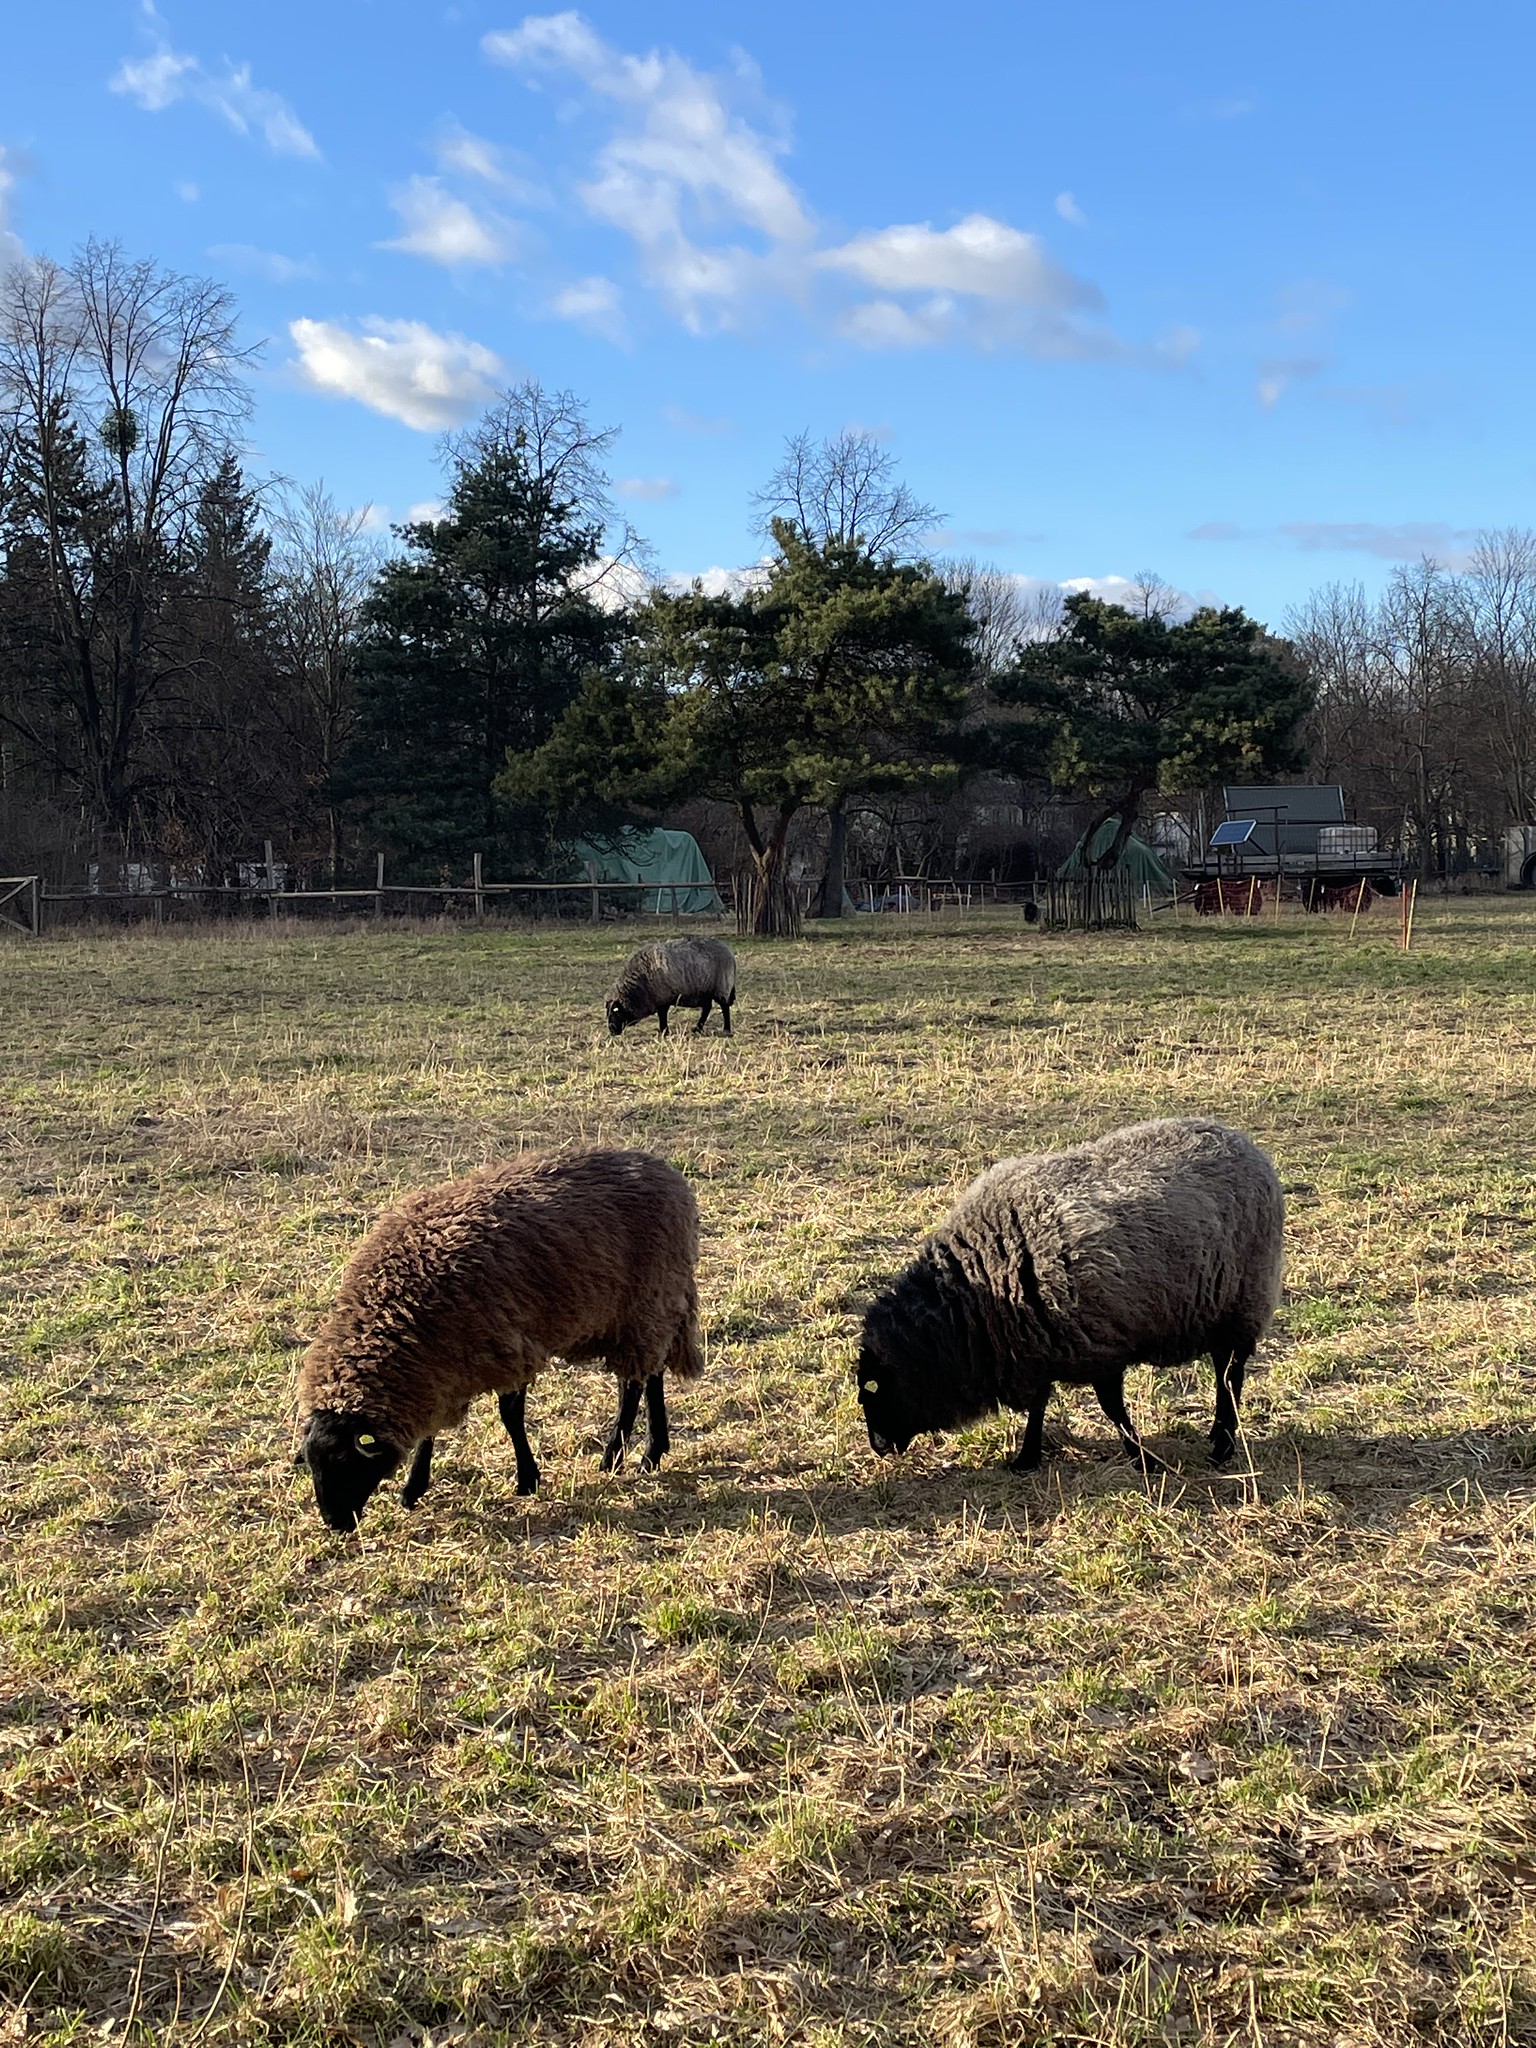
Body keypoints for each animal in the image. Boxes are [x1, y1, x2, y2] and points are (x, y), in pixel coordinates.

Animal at [294, 1148, 702, 1531]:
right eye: (311, 1463)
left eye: (344, 1461)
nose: (334, 1523)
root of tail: (666, 1173)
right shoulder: (440, 1367)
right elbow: (430, 1431)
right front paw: (413, 1489)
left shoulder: (508, 1345)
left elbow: (510, 1417)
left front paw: (527, 1479)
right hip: (643, 1311)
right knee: (651, 1373)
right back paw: (653, 1451)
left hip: (644, 1301)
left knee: (632, 1385)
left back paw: (614, 1456)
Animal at [605, 936, 737, 1037]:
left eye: (615, 1012)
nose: (612, 1032)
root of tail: (729, 952)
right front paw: (664, 1031)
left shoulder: (663, 998)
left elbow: (662, 1015)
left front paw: (664, 1031)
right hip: (705, 991)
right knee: (707, 1008)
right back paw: (697, 1028)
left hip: (721, 986)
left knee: (724, 1007)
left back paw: (726, 1029)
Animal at [855, 1117, 1282, 1475]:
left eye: (874, 1389)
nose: (878, 1447)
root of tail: (1246, 1144)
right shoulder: (1035, 1347)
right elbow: (1039, 1406)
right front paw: (1026, 1459)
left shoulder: (1100, 1347)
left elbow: (1111, 1409)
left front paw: (1142, 1459)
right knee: (1225, 1372)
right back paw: (1217, 1435)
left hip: (1243, 1302)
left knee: (1230, 1376)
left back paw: (1223, 1446)